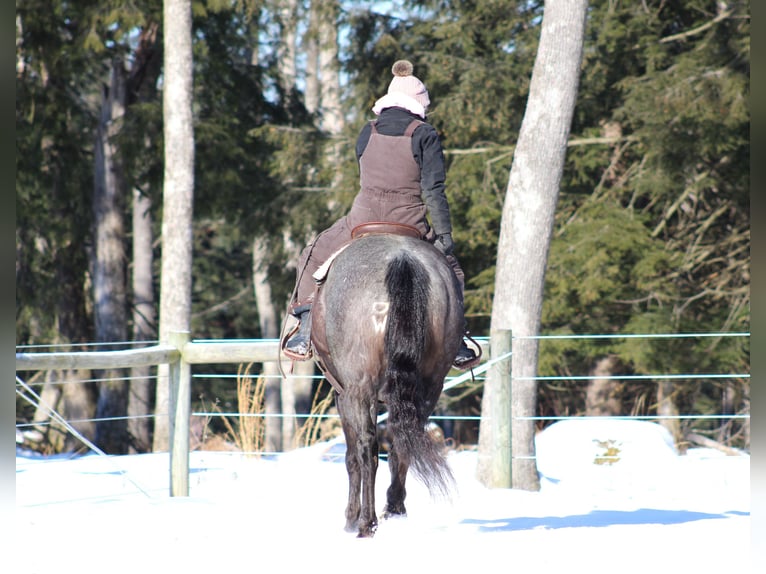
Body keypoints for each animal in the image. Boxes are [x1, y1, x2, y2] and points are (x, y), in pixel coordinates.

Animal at [310, 228, 464, 540]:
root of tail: (402, 260)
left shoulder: (343, 394)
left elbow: (352, 456)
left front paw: (350, 517)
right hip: (429, 387)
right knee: (402, 441)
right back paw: (393, 510)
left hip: (360, 389)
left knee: (367, 448)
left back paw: (365, 523)